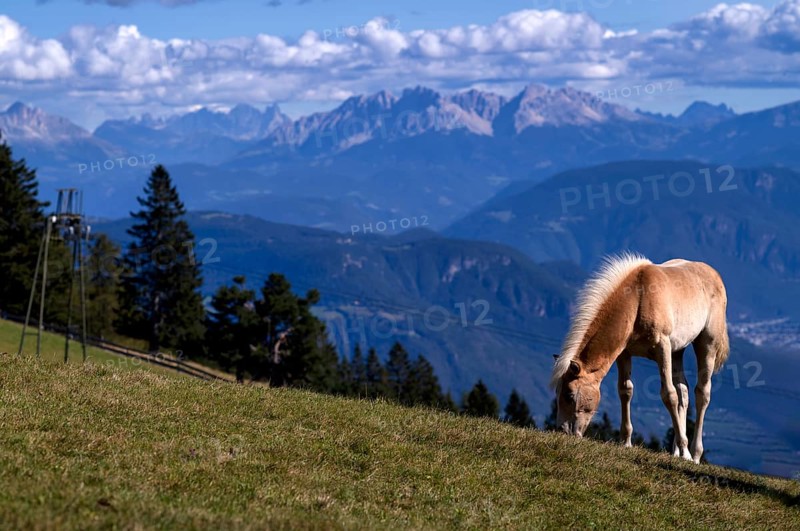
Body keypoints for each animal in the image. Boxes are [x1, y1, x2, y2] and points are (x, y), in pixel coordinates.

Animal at [551, 253, 730, 463]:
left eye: (569, 395)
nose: (562, 430)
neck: (638, 299)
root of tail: (714, 275)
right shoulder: (625, 354)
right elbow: (625, 391)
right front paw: (626, 442)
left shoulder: (663, 348)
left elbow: (668, 395)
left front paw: (685, 451)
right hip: (678, 351)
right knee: (683, 391)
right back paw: (676, 451)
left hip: (707, 344)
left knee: (701, 393)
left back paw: (693, 454)